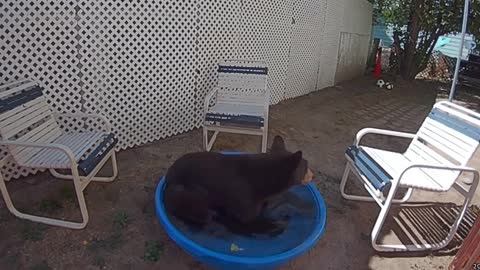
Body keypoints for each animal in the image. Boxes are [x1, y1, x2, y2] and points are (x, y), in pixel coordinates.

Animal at [164, 136, 316, 235]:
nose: (313, 174)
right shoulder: (242, 202)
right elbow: (247, 222)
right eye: (306, 165)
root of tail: (167, 176)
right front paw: (278, 224)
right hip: (182, 192)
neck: (264, 177)